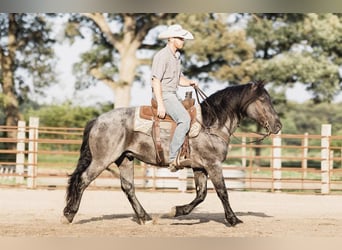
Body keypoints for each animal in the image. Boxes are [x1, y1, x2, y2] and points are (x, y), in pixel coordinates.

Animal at [62, 80, 282, 227]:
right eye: (263, 99)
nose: (278, 126)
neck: (210, 123)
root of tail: (97, 120)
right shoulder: (213, 165)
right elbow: (222, 192)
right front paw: (234, 219)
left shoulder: (199, 167)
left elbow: (201, 195)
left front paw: (177, 211)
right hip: (102, 160)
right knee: (82, 180)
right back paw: (69, 214)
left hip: (125, 159)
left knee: (128, 187)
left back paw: (144, 217)